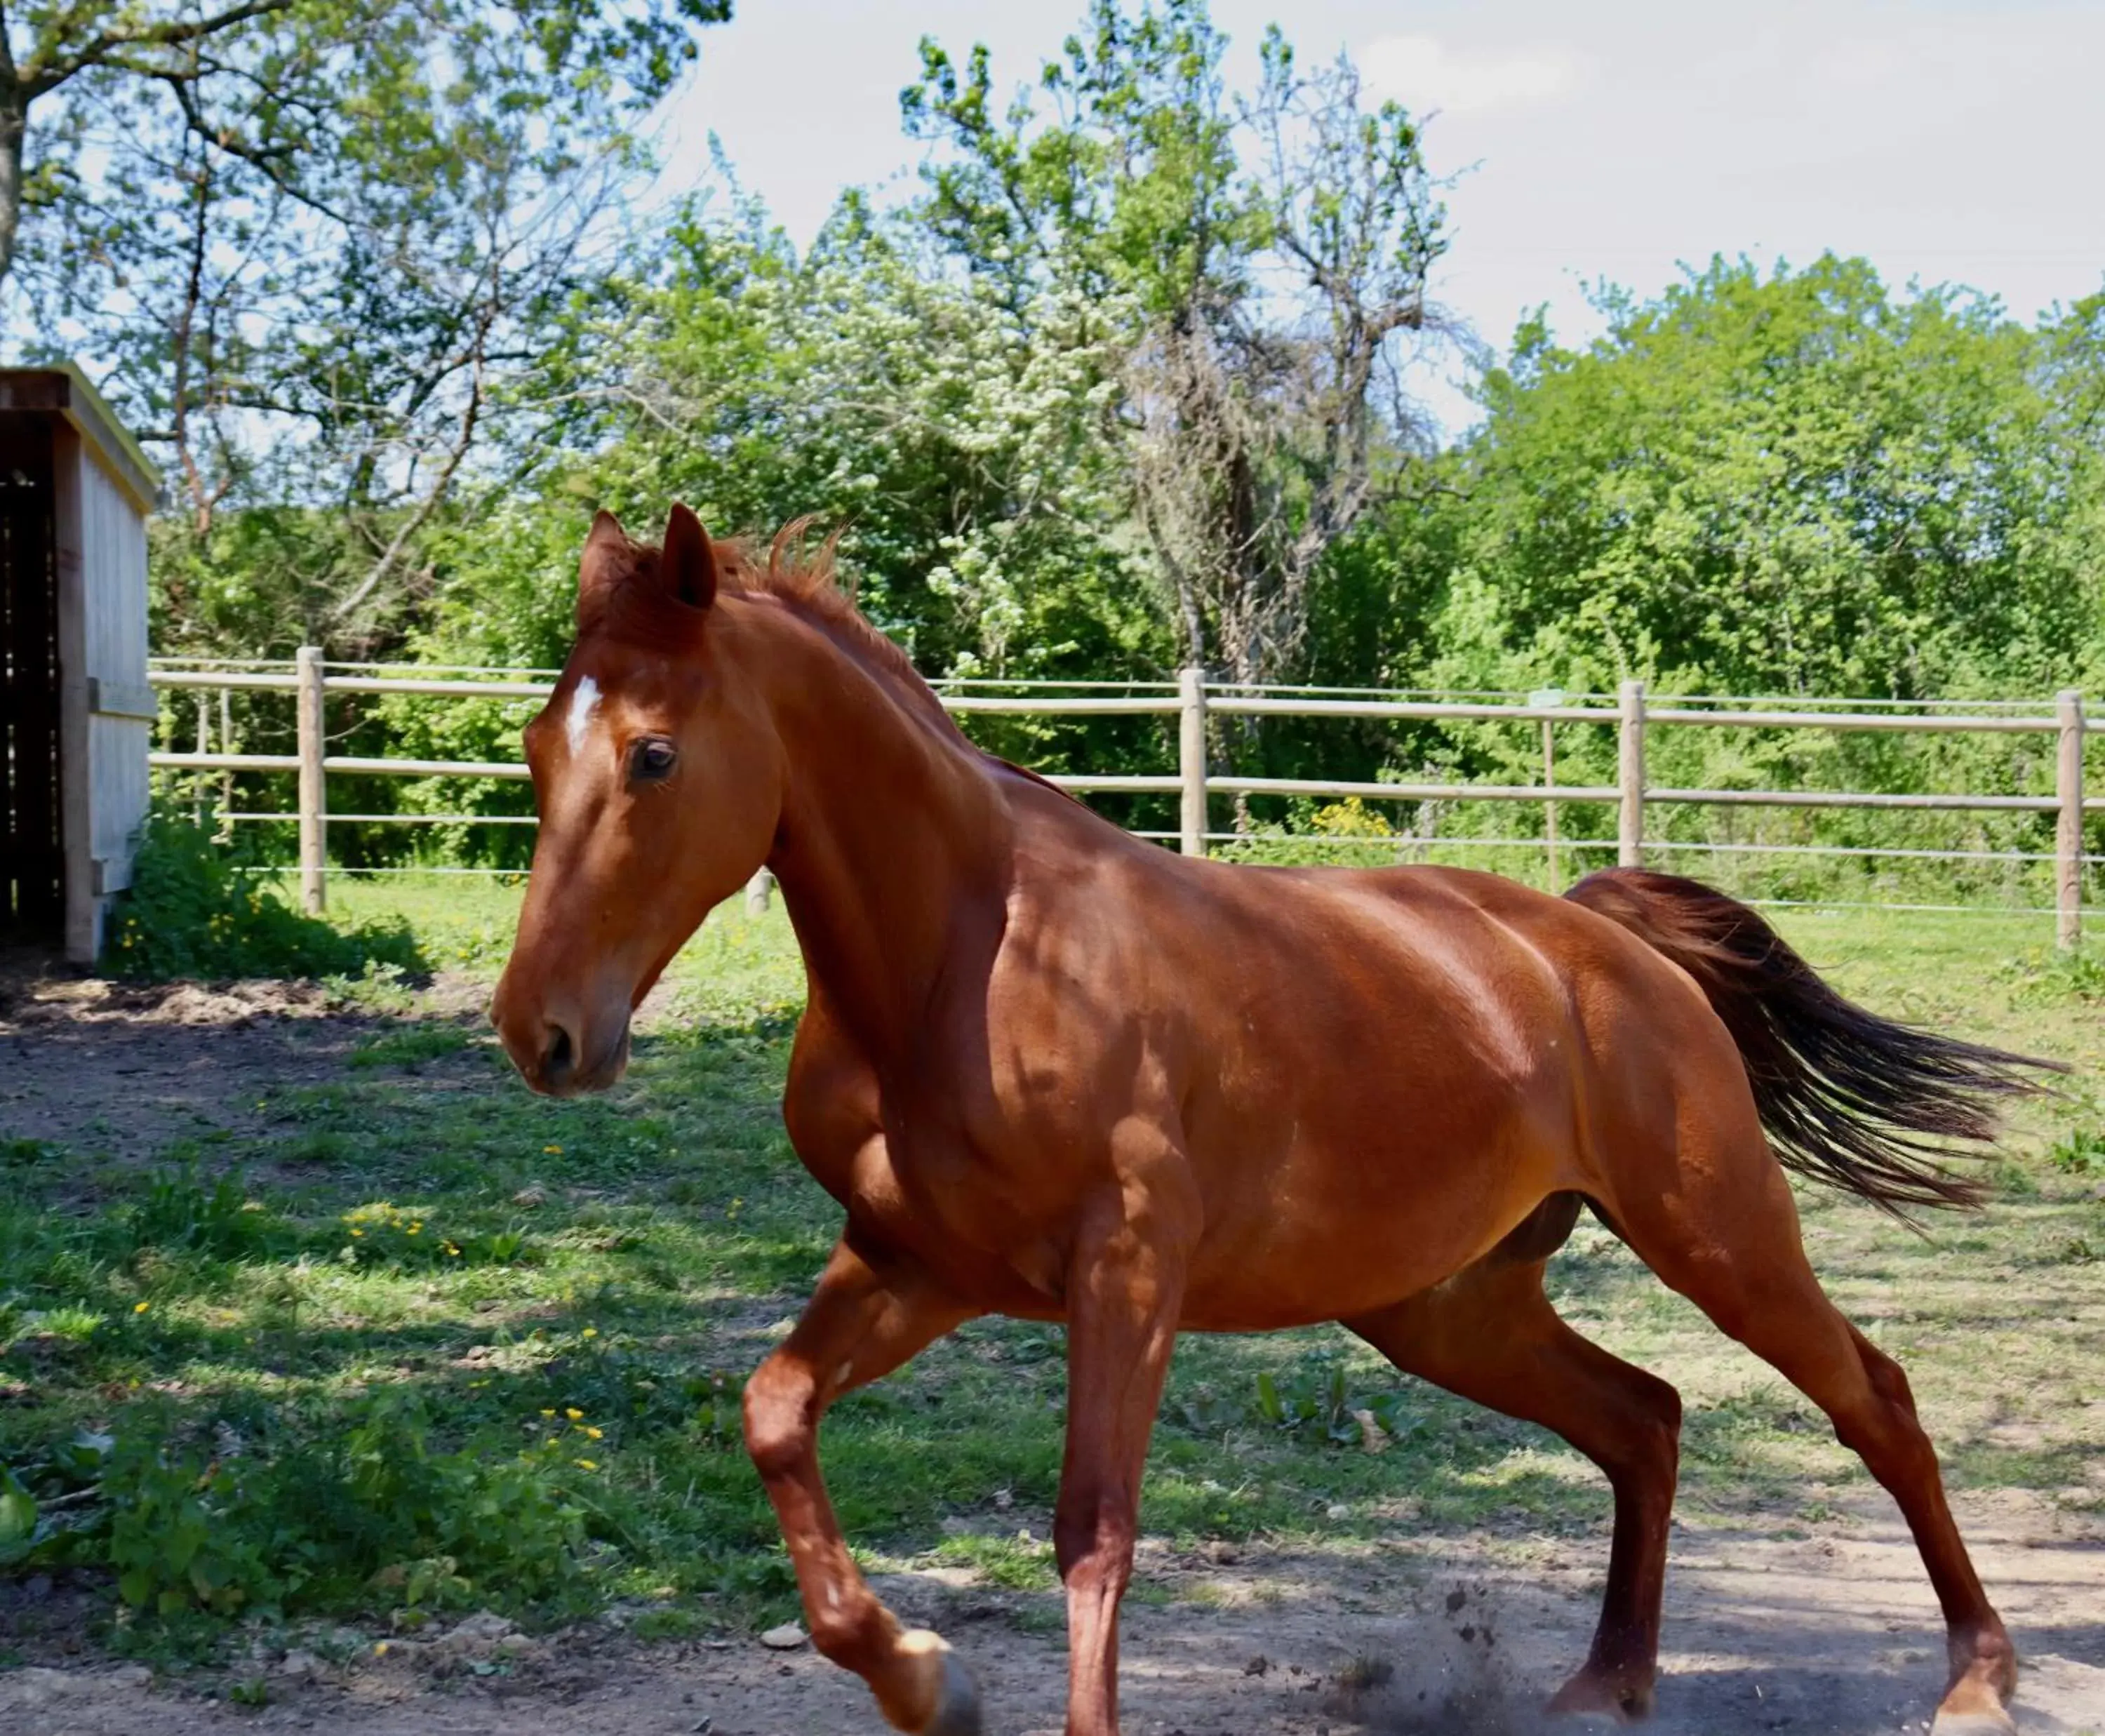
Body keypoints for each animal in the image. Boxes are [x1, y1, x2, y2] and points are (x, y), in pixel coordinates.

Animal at [497, 505, 2054, 1734]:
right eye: (532, 747)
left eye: (650, 754)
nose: (542, 1031)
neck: (969, 954)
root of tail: (1606, 939)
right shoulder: (916, 1264)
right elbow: (775, 1413)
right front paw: (928, 1680)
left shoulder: (1126, 1272)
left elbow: (1093, 1530)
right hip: (1449, 1305)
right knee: (1645, 1418)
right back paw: (1607, 1685)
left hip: (1718, 1235)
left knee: (1874, 1399)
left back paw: (1977, 1680)